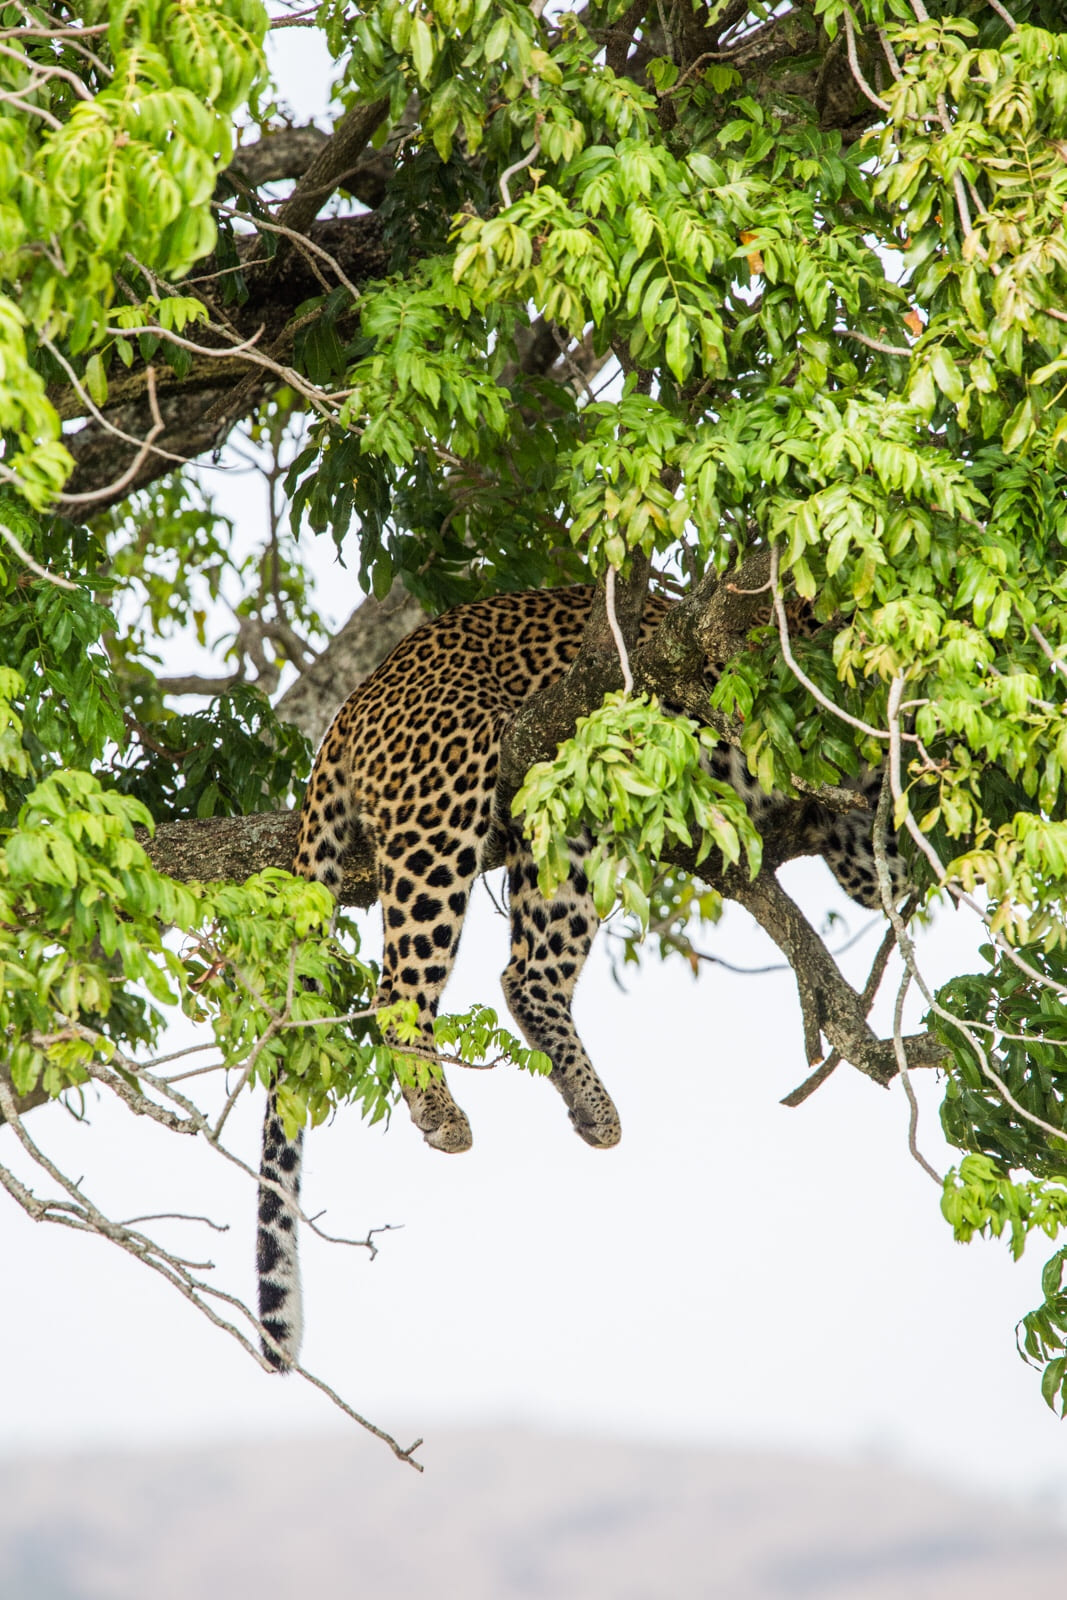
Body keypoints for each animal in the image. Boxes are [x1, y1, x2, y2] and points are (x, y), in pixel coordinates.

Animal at [256, 584, 905, 1368]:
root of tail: (360, 696)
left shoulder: (858, 841)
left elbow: (886, 863)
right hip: (443, 812)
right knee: (400, 990)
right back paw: (442, 1111)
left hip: (568, 831)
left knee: (526, 975)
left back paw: (591, 1105)